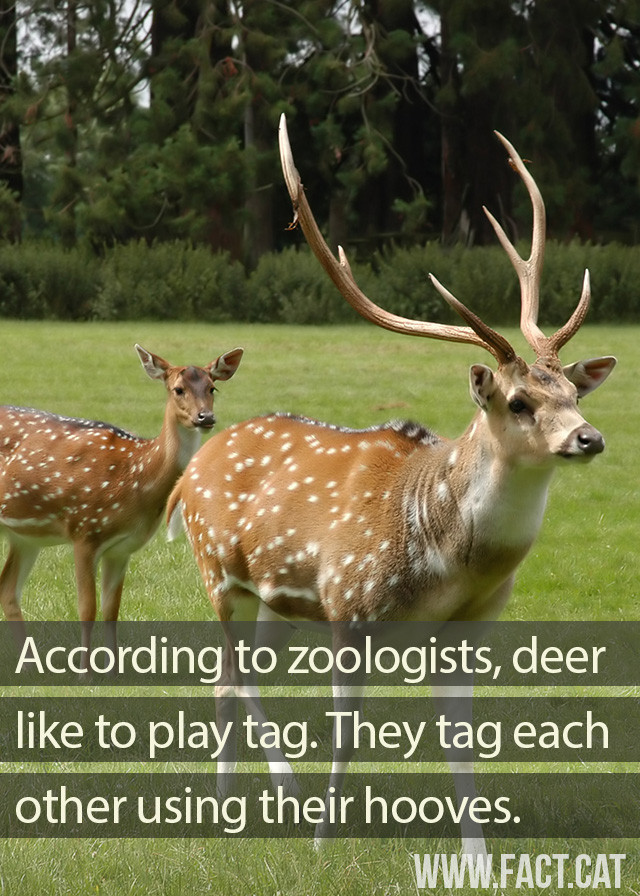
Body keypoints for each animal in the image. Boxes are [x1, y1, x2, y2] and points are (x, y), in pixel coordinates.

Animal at [0, 342, 243, 658]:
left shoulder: (122, 549)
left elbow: (111, 611)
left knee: (8, 590)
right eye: (178, 389)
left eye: (212, 388)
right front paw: (85, 670)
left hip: (26, 536)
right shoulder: (84, 531)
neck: (134, 477)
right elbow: (87, 610)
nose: (206, 417)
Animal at [166, 116, 616, 856]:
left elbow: (462, 744)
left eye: (573, 392)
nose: (590, 438)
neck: (445, 559)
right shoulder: (349, 605)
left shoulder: (470, 628)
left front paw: (478, 856)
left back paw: (238, 800)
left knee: (234, 680)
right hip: (215, 568)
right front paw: (324, 839)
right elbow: (347, 732)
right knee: (233, 676)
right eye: (518, 401)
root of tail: (191, 470)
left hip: (272, 595)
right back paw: (270, 796)